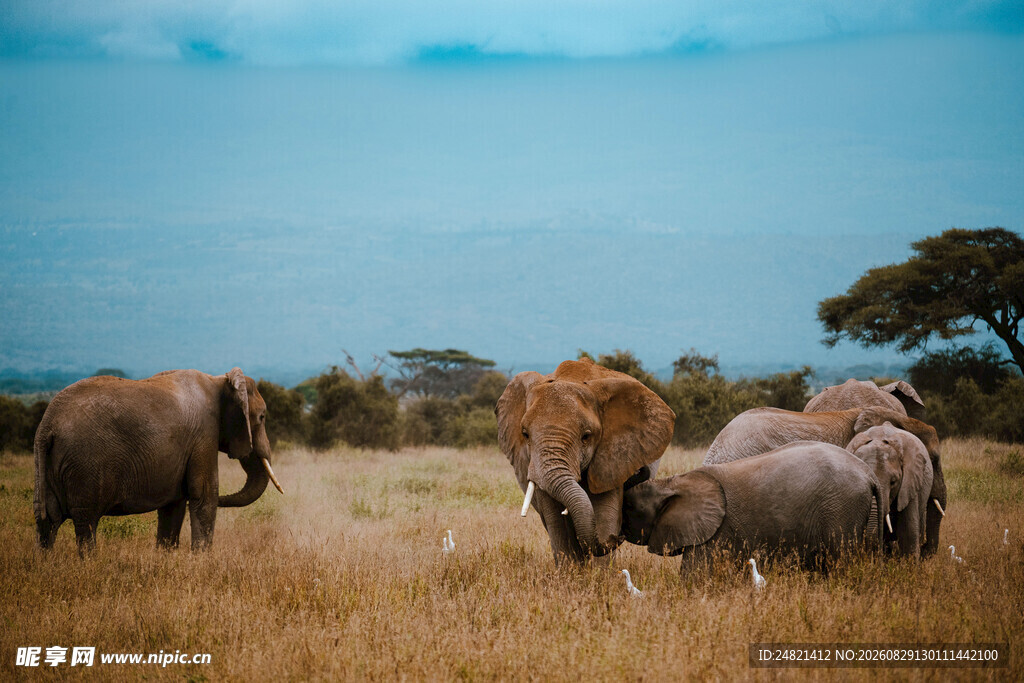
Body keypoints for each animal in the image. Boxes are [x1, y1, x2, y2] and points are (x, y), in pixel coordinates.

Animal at [33, 368, 283, 553]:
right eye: (262, 417)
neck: (220, 380)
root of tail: (48, 423)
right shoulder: (204, 435)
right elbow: (204, 496)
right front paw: (202, 561)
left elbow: (173, 506)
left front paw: (166, 558)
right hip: (85, 465)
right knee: (86, 522)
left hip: (47, 463)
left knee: (47, 522)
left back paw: (46, 565)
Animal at [495, 358, 675, 563]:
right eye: (525, 434)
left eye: (586, 437)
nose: (619, 536)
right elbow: (558, 524)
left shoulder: (610, 462)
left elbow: (604, 516)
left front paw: (599, 571)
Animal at [621, 441, 884, 570]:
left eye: (630, 507)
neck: (674, 482)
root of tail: (869, 474)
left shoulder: (714, 534)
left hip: (841, 510)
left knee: (841, 560)